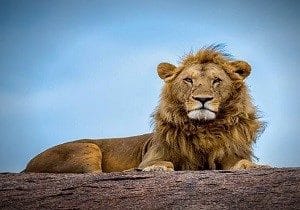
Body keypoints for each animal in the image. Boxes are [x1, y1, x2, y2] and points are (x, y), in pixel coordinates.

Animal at [24, 45, 264, 173]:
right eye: (188, 80)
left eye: (216, 80)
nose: (202, 99)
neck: (203, 129)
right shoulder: (152, 155)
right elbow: (164, 162)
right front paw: (156, 169)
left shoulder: (230, 156)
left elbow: (243, 162)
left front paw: (258, 167)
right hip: (87, 148)